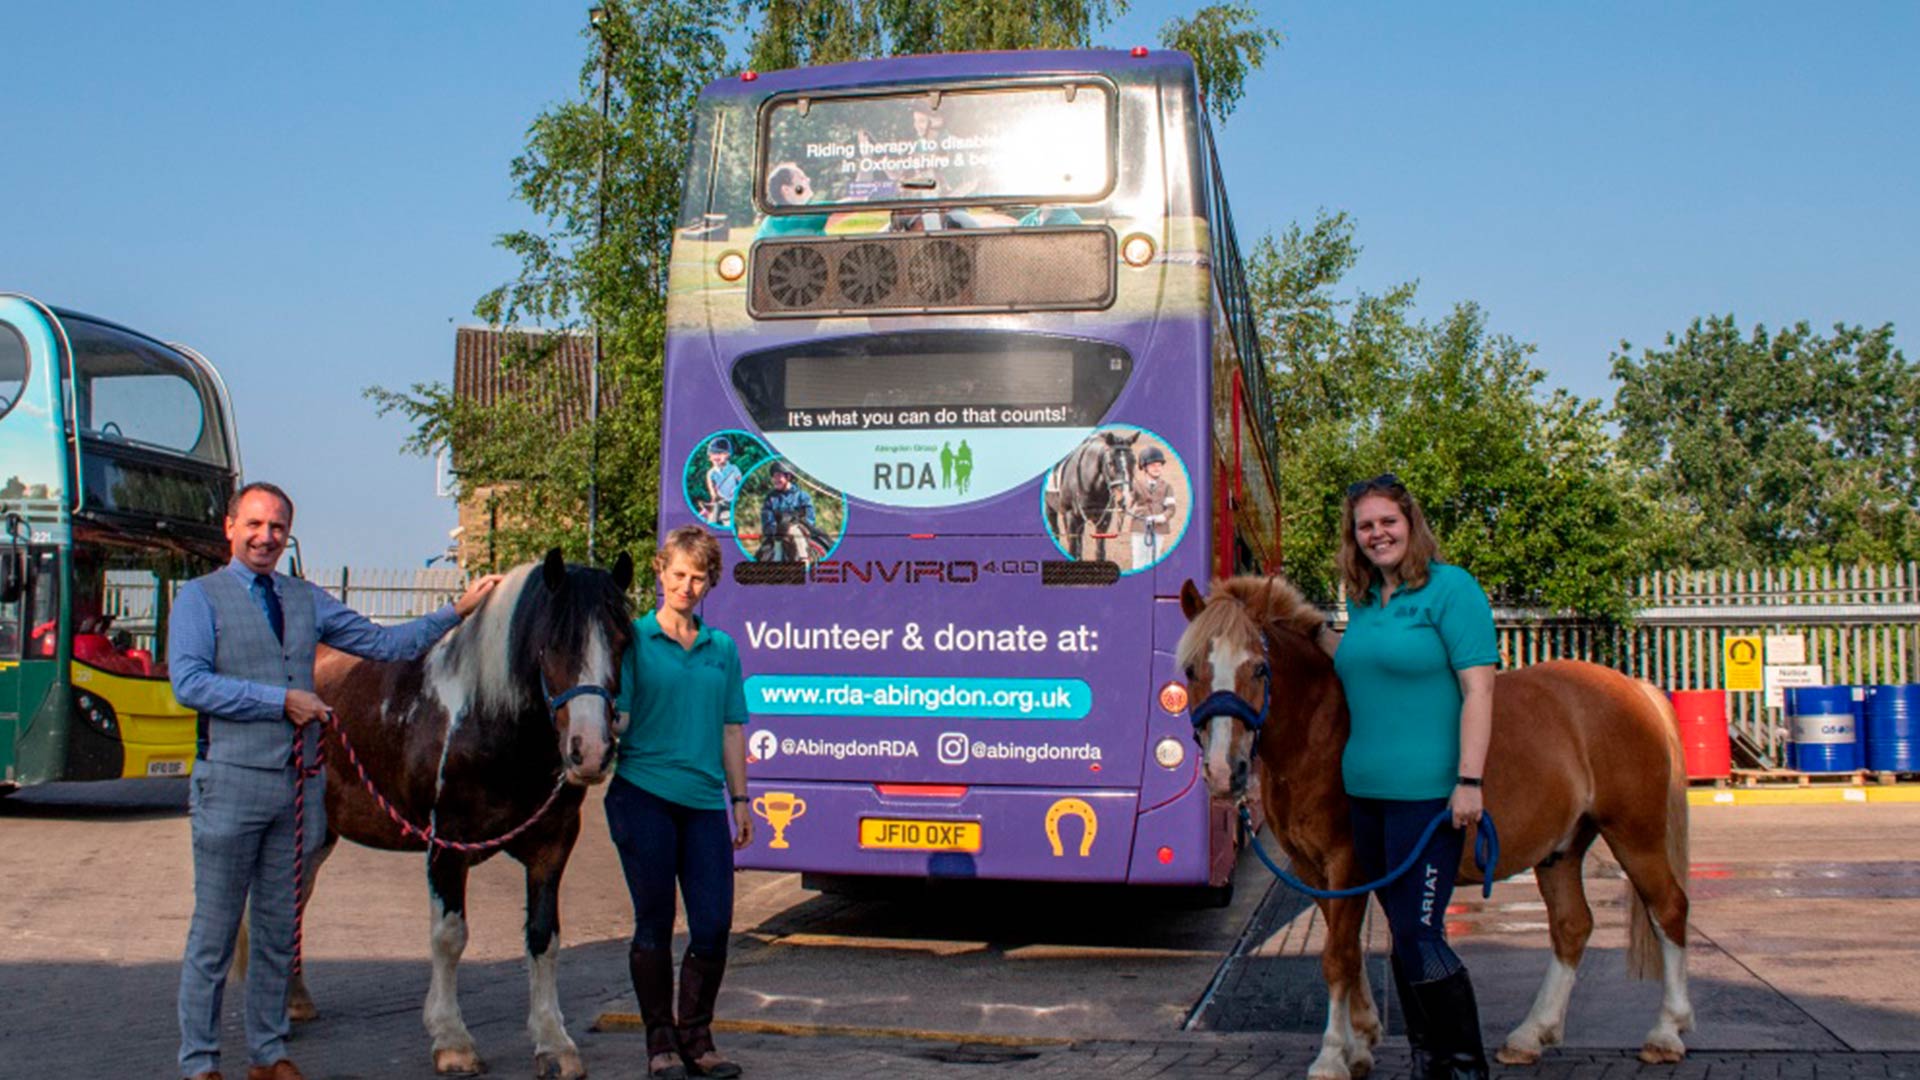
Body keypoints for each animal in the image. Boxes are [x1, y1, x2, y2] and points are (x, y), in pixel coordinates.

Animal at [1167, 580, 1697, 1076]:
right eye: (1191, 670)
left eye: (1259, 669)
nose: (1224, 771)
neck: (1323, 732)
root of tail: (1636, 689)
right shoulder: (1313, 871)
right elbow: (1347, 953)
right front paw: (1362, 1041)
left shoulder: (1348, 863)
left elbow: (1338, 957)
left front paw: (1333, 1056)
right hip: (1561, 849)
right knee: (1572, 926)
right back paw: (1531, 1034)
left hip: (1635, 835)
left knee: (1668, 909)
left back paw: (1666, 1033)